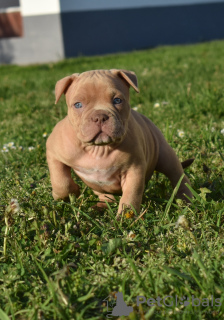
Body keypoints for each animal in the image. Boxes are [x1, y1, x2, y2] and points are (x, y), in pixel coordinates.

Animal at [46, 69, 192, 216]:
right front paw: (68, 194)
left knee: (178, 177)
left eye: (117, 100)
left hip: (165, 155)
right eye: (78, 105)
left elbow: (131, 195)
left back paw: (187, 201)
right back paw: (100, 206)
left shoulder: (133, 169)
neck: (99, 149)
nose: (100, 116)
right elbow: (60, 181)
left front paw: (126, 217)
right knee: (104, 195)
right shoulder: (53, 151)